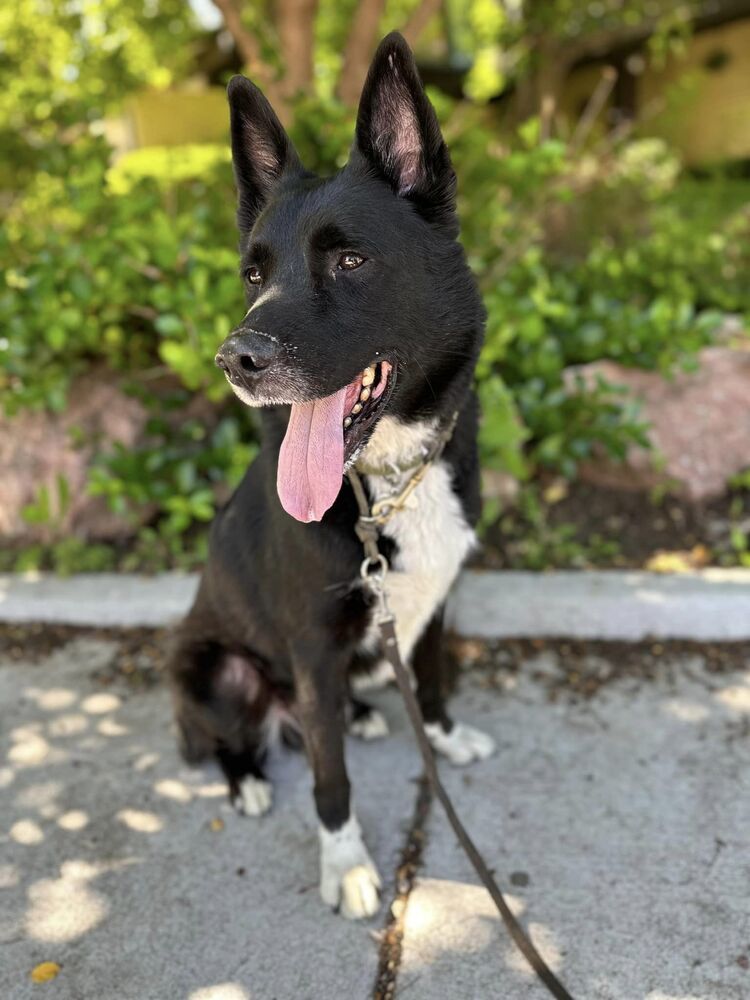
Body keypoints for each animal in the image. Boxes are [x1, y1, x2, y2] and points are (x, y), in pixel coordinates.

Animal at [173, 31, 496, 916]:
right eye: (253, 275)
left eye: (350, 259)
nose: (237, 359)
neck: (385, 482)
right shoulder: (313, 647)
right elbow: (329, 778)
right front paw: (346, 863)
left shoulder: (438, 603)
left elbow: (434, 679)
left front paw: (443, 736)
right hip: (211, 668)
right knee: (229, 737)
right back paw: (247, 779)